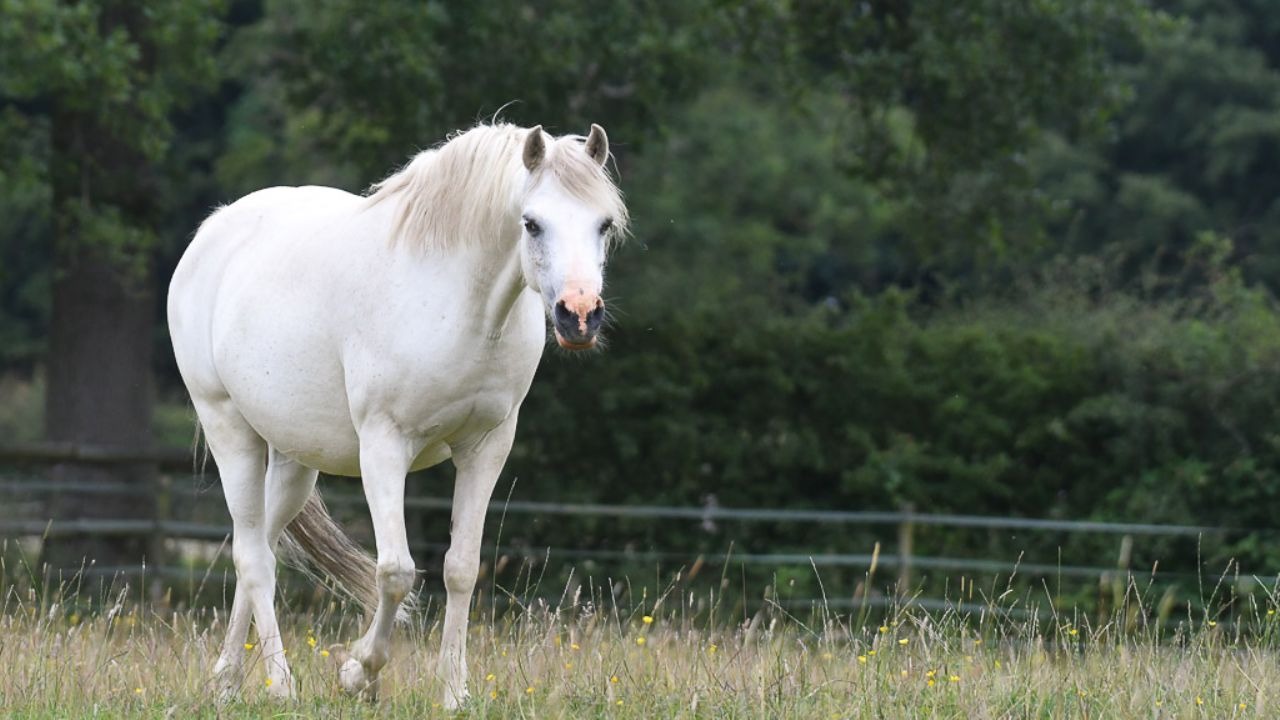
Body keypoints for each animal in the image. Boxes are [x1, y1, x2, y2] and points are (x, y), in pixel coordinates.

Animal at [170, 121, 629, 702]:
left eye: (603, 224)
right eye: (532, 223)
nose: (579, 316)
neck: (459, 302)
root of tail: (211, 233)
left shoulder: (487, 447)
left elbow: (462, 567)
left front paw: (454, 693)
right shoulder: (384, 446)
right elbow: (395, 571)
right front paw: (358, 672)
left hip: (294, 460)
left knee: (261, 547)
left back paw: (227, 681)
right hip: (230, 432)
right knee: (254, 558)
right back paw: (281, 686)